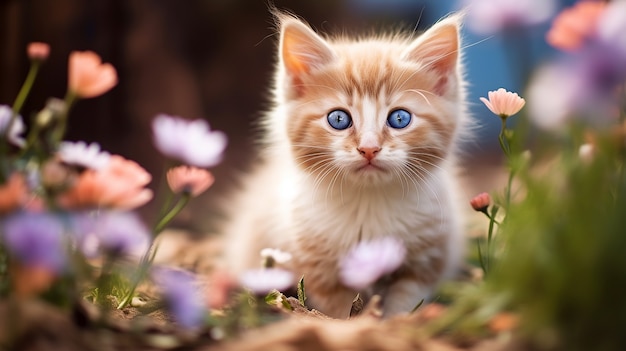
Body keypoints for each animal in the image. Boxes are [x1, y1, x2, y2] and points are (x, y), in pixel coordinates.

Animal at [221, 11, 468, 320]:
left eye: (399, 119)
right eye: (338, 119)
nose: (369, 148)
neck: (369, 203)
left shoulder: (426, 258)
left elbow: (405, 300)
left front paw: (393, 322)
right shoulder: (319, 266)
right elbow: (337, 311)